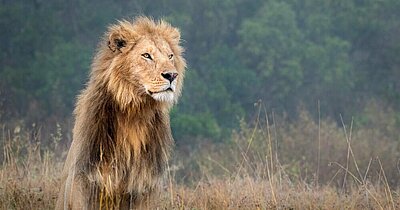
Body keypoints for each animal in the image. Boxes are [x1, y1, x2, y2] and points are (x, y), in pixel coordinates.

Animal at [56, 17, 186, 209]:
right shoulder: (83, 178)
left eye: (170, 56)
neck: (135, 112)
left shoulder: (146, 186)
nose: (171, 75)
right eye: (146, 55)